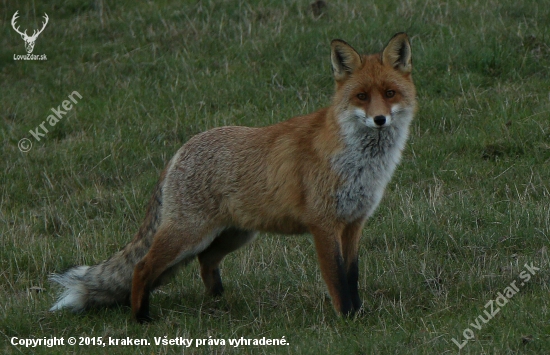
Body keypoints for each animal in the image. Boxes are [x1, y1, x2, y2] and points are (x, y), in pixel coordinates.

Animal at [49, 33, 418, 322]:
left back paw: (217, 299)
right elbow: (337, 280)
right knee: (142, 266)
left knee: (204, 262)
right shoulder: (324, 225)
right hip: (189, 234)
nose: (380, 120)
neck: (362, 164)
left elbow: (352, 276)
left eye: (389, 93)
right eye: (361, 97)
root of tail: (179, 151)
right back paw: (141, 318)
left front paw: (359, 313)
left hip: (233, 235)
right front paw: (347, 320)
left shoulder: (354, 223)